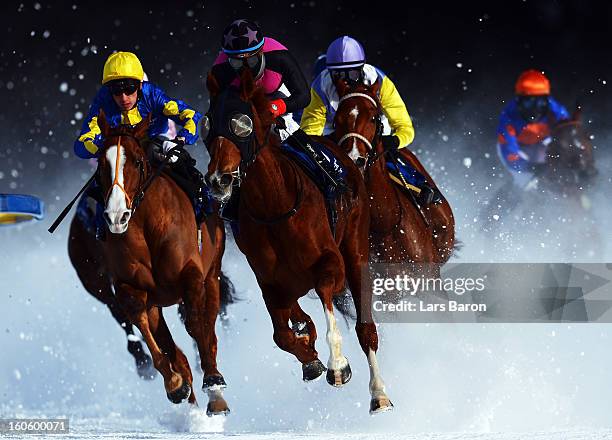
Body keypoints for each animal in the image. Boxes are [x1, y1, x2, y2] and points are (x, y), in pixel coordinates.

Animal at [89, 113, 232, 416]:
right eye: (101, 165)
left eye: (137, 161)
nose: (117, 216)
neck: (148, 226)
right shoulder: (130, 287)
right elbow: (142, 323)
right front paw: (175, 385)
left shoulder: (192, 275)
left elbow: (197, 325)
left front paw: (213, 384)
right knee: (175, 350)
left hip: (212, 275)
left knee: (208, 329)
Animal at [206, 70, 394, 414]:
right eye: (208, 123)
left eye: (242, 123)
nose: (218, 180)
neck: (275, 207)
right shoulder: (270, 281)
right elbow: (282, 335)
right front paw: (311, 358)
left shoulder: (330, 263)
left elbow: (326, 295)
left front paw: (337, 365)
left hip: (356, 246)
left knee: (365, 328)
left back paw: (379, 393)